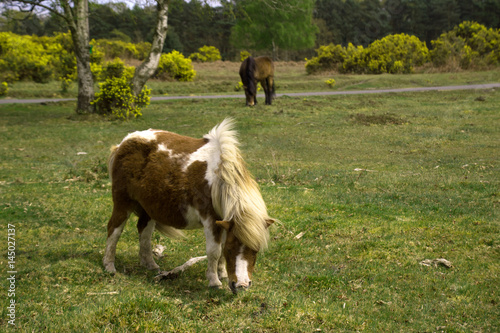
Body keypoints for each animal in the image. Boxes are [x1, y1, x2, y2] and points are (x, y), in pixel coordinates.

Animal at [101, 118, 274, 292]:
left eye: (256, 250)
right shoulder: (210, 220)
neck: (219, 179)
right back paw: (109, 266)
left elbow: (220, 250)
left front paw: (222, 273)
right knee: (114, 229)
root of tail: (123, 143)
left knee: (144, 231)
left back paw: (150, 265)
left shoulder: (224, 221)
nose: (242, 285)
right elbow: (214, 251)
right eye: (231, 250)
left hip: (148, 207)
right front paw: (214, 281)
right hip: (123, 202)